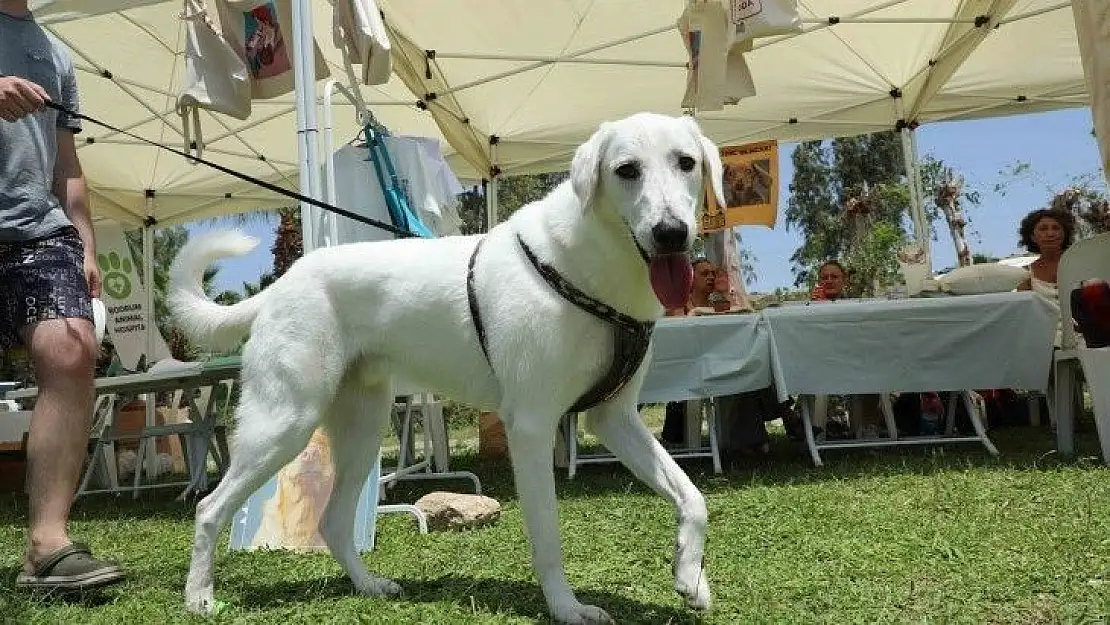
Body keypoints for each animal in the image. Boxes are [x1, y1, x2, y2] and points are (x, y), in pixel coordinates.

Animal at [168, 113, 728, 625]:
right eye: (626, 170)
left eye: (686, 162)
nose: (672, 234)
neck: (589, 266)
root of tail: (280, 286)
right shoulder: (531, 427)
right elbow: (548, 537)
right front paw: (566, 608)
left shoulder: (614, 419)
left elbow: (693, 497)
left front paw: (690, 578)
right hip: (285, 423)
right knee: (209, 509)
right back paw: (199, 598)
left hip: (361, 431)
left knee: (334, 523)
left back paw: (368, 586)